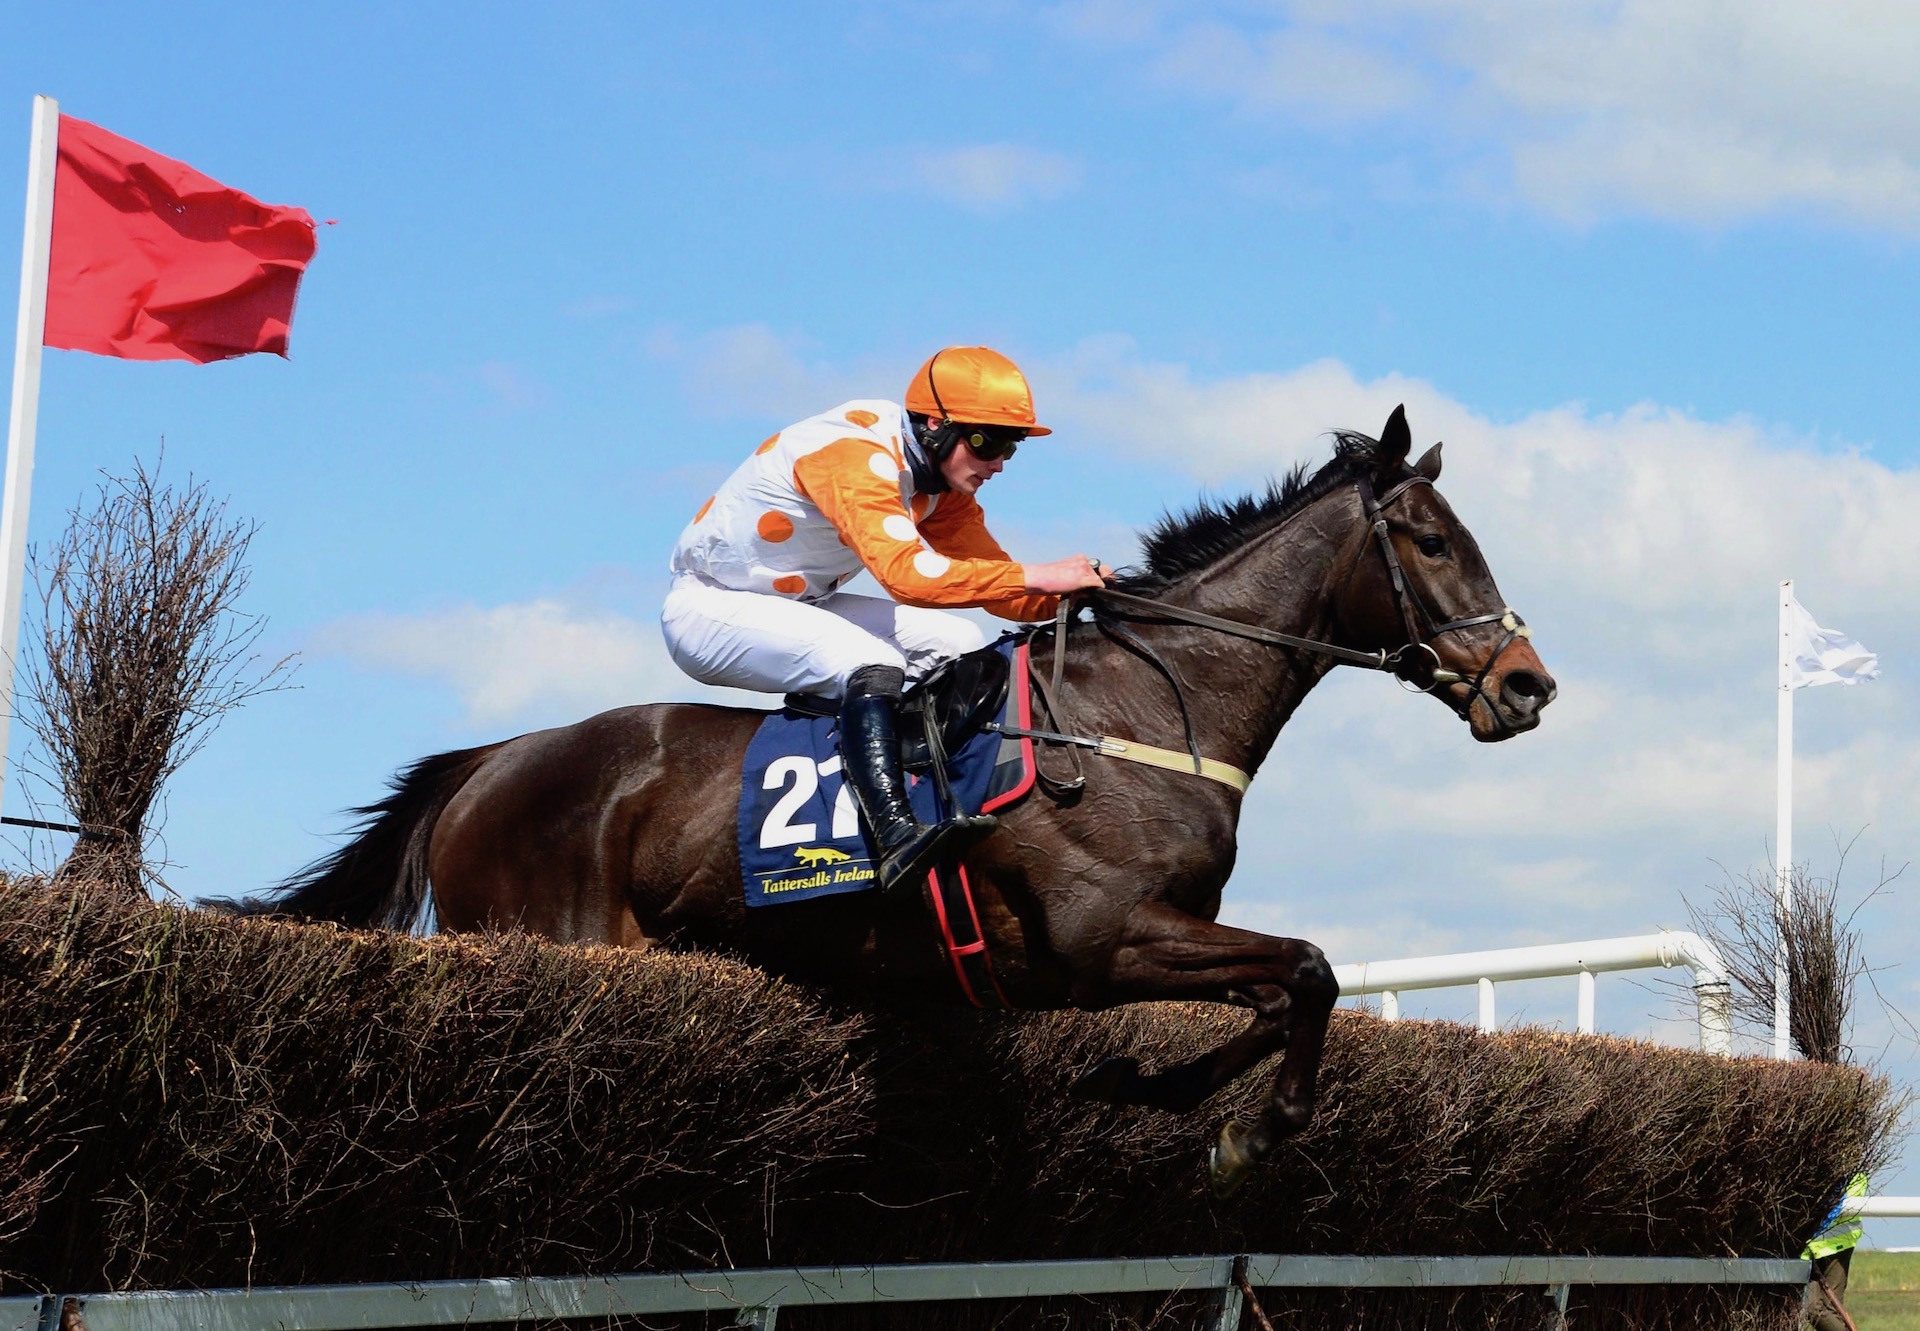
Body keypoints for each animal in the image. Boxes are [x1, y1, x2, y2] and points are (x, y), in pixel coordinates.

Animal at [224, 405, 1551, 1190]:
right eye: (1434, 541)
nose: (1527, 684)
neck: (1135, 709)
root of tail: (495, 758)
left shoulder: (1155, 937)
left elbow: (1286, 991)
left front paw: (1147, 1087)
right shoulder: (1098, 940)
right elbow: (1311, 971)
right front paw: (1244, 1131)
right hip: (547, 938)